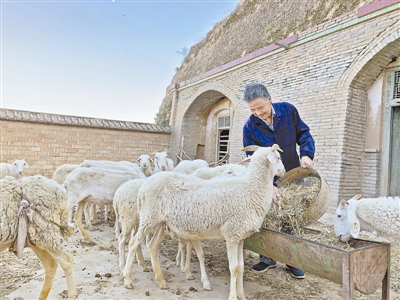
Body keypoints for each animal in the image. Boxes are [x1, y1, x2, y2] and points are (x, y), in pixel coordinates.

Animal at [123, 144, 286, 298]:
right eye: (278, 157)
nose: (283, 171)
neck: (250, 189)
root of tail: (144, 187)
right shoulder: (231, 235)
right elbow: (233, 268)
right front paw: (233, 296)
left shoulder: (240, 237)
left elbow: (241, 267)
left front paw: (242, 295)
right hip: (148, 218)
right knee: (133, 243)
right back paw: (128, 280)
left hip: (161, 223)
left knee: (152, 246)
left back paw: (161, 281)